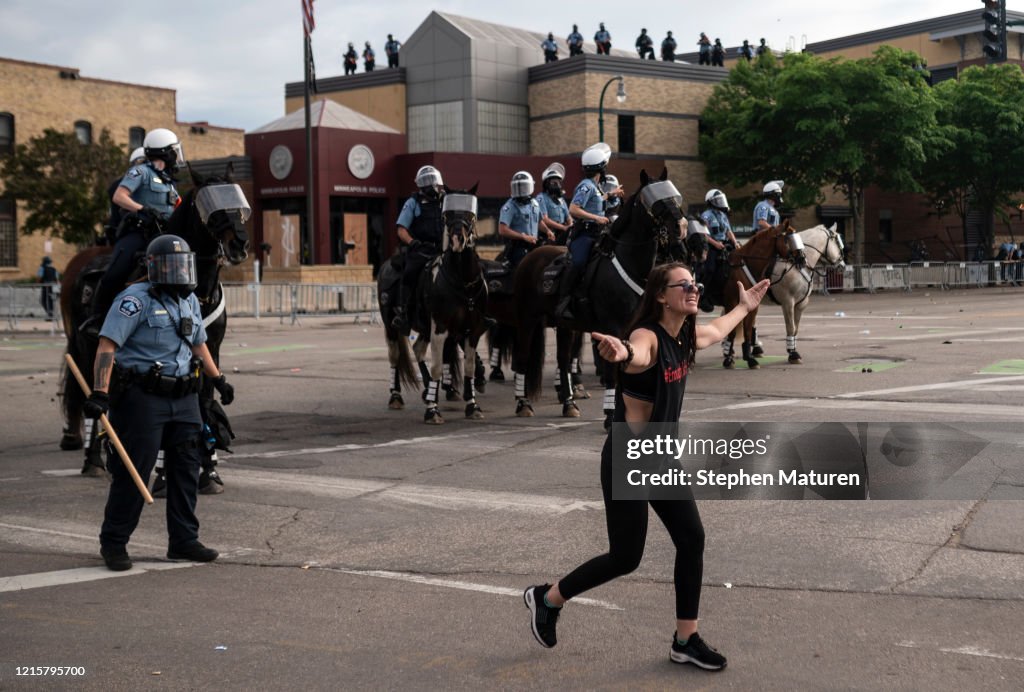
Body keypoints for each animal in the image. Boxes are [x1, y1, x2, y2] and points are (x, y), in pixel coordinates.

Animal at [60, 169, 250, 479]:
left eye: (237, 199)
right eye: (208, 205)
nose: (240, 244)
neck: (193, 285)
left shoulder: (211, 348)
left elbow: (206, 402)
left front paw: (209, 471)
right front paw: (164, 474)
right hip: (86, 348)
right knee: (90, 394)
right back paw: (93, 459)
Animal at [724, 224, 843, 370]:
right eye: (837, 241)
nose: (842, 266)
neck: (797, 264)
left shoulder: (801, 303)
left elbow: (795, 328)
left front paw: (793, 350)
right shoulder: (788, 302)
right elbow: (790, 327)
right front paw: (793, 354)